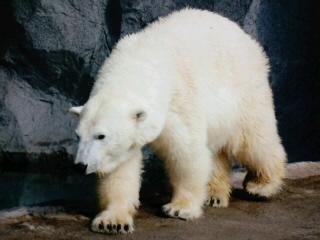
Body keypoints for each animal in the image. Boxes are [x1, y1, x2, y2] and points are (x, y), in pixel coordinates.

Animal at [69, 7, 284, 234]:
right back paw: (214, 195)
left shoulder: (179, 100)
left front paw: (180, 208)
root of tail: (246, 37)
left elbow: (186, 152)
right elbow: (121, 168)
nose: (80, 166)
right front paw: (112, 222)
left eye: (101, 136)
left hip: (244, 88)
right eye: (78, 136)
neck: (142, 63)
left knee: (252, 140)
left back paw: (261, 186)